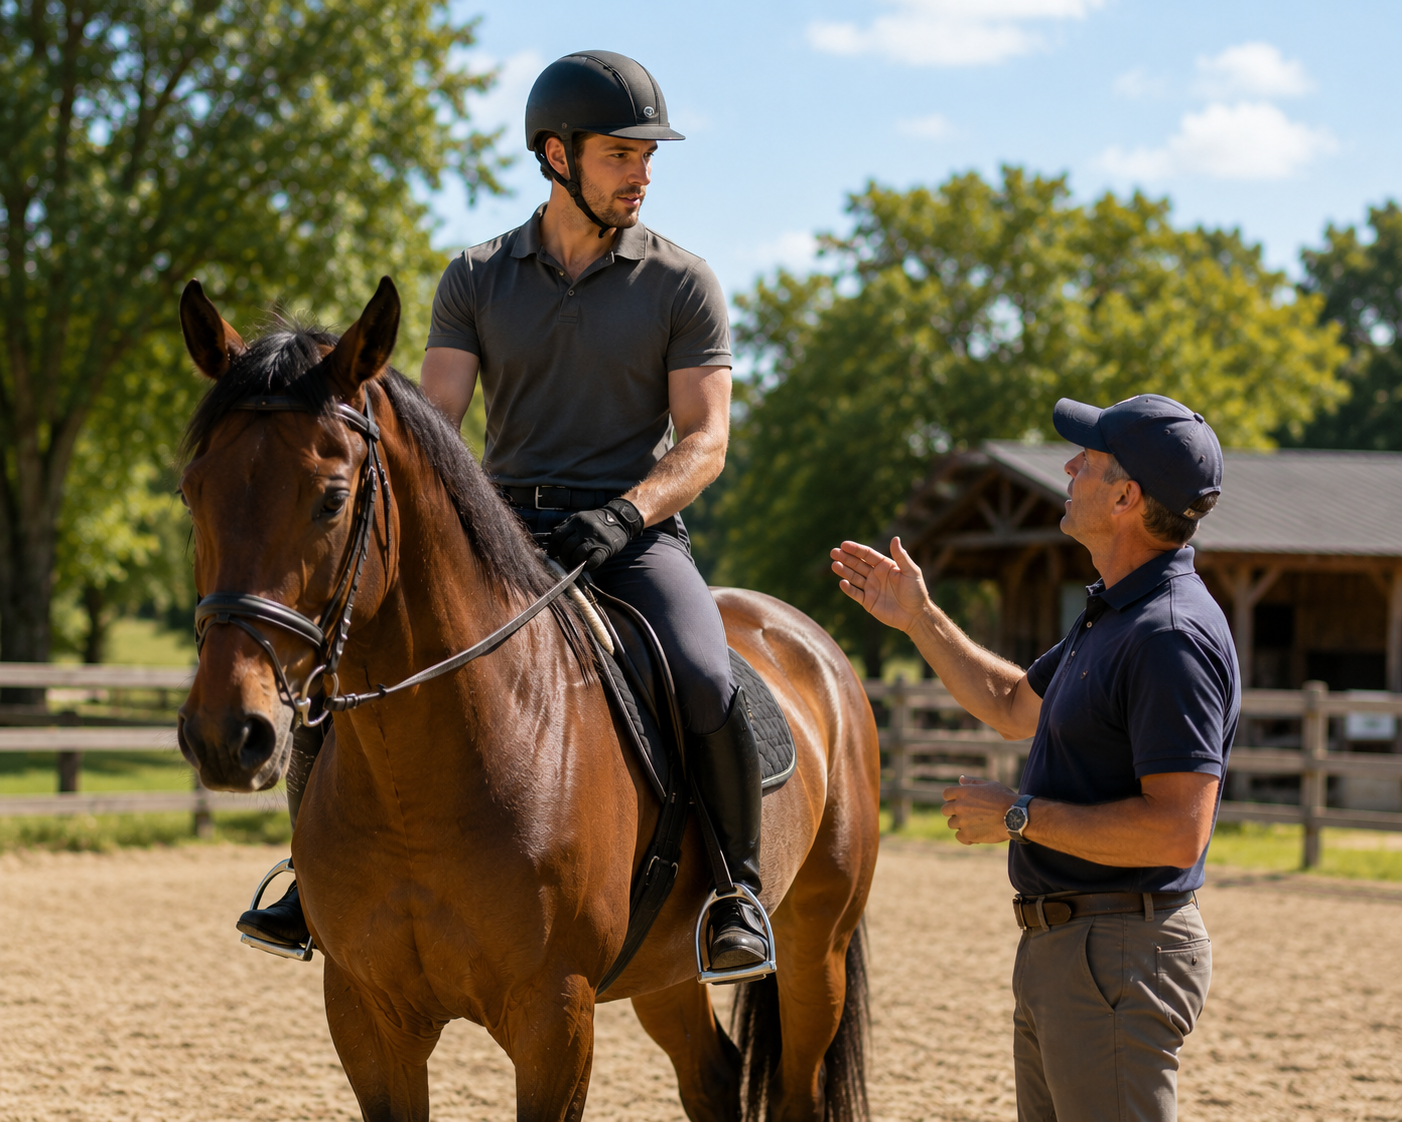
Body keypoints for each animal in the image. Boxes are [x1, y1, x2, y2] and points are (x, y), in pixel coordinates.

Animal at [174, 275, 882, 1122]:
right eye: (192, 494)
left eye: (332, 499)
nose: (225, 734)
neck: (421, 782)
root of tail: (812, 644)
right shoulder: (367, 1018)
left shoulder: (555, 1019)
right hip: (666, 971)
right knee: (712, 1075)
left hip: (816, 945)